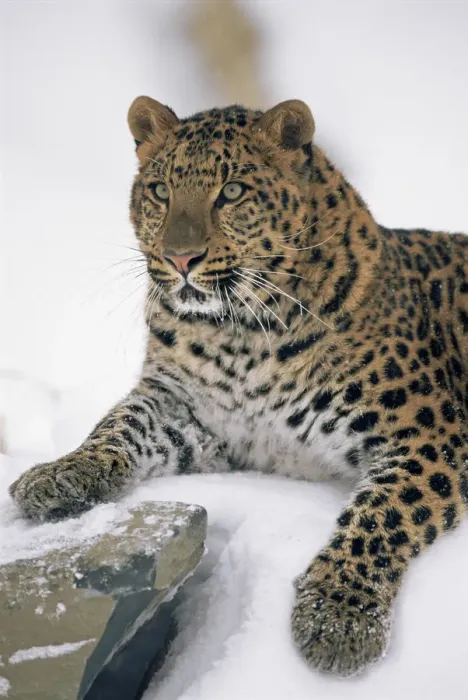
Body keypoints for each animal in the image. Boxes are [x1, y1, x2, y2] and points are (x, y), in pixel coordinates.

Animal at [10, 96, 468, 678]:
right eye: (161, 191)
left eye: (231, 192)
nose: (180, 259)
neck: (239, 334)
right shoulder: (190, 413)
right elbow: (119, 424)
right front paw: (59, 472)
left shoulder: (430, 437)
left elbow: (383, 516)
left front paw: (338, 615)